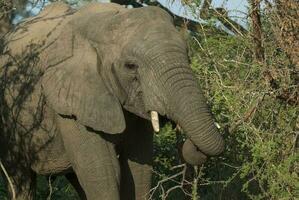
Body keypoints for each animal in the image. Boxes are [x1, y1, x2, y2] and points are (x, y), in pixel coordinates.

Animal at [0, 1, 225, 200]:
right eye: (131, 66)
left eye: (188, 56)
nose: (188, 144)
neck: (106, 21)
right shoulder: (70, 102)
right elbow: (104, 173)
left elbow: (139, 169)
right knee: (20, 178)